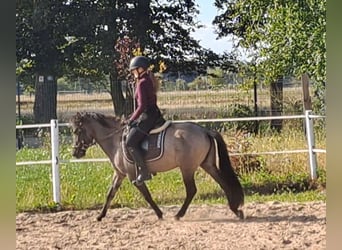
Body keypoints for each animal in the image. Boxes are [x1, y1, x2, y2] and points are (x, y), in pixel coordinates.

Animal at [71, 111, 244, 221]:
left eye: (77, 131)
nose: (75, 152)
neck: (116, 140)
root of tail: (204, 130)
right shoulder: (119, 174)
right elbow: (110, 194)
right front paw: (100, 216)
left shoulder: (133, 176)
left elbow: (147, 196)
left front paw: (160, 214)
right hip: (207, 165)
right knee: (223, 183)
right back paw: (235, 210)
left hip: (187, 168)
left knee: (192, 190)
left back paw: (179, 215)